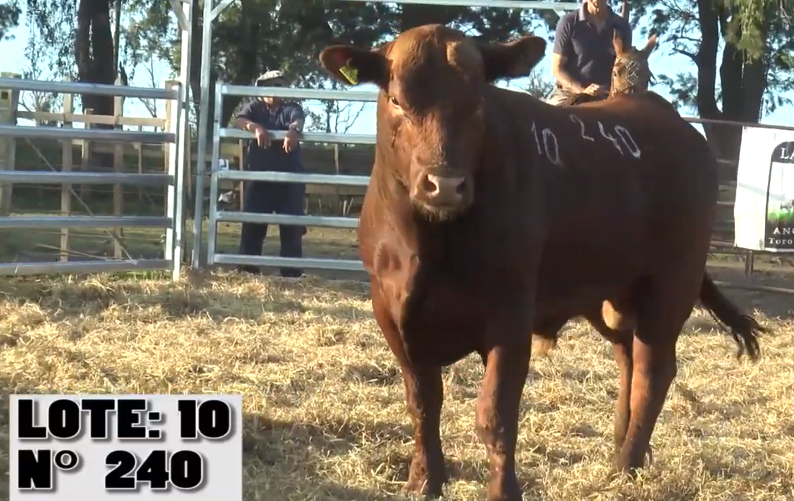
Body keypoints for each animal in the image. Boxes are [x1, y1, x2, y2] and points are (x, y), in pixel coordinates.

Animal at [318, 24, 764, 500]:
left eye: (478, 100)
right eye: (398, 100)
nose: (446, 185)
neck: (431, 244)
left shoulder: (510, 314)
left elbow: (495, 415)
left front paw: (502, 490)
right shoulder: (393, 312)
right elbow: (423, 405)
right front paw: (424, 481)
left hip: (672, 282)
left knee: (653, 369)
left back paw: (625, 465)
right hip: (614, 294)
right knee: (628, 358)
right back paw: (622, 447)